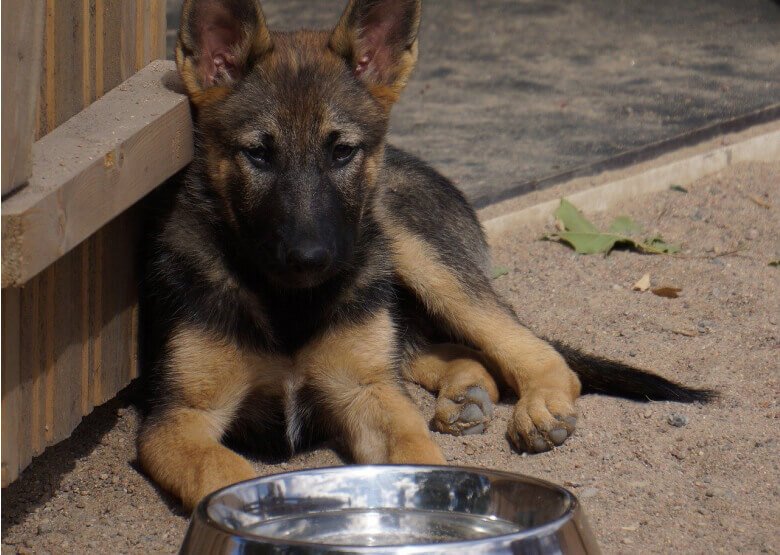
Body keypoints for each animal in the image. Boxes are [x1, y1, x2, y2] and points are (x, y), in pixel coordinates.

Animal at [139, 0, 712, 512]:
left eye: (342, 151)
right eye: (258, 154)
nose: (311, 259)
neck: (289, 306)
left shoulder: (366, 391)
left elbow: (415, 453)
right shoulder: (177, 420)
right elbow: (222, 472)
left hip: (416, 256)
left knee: (532, 350)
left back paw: (538, 405)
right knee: (443, 350)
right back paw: (468, 392)